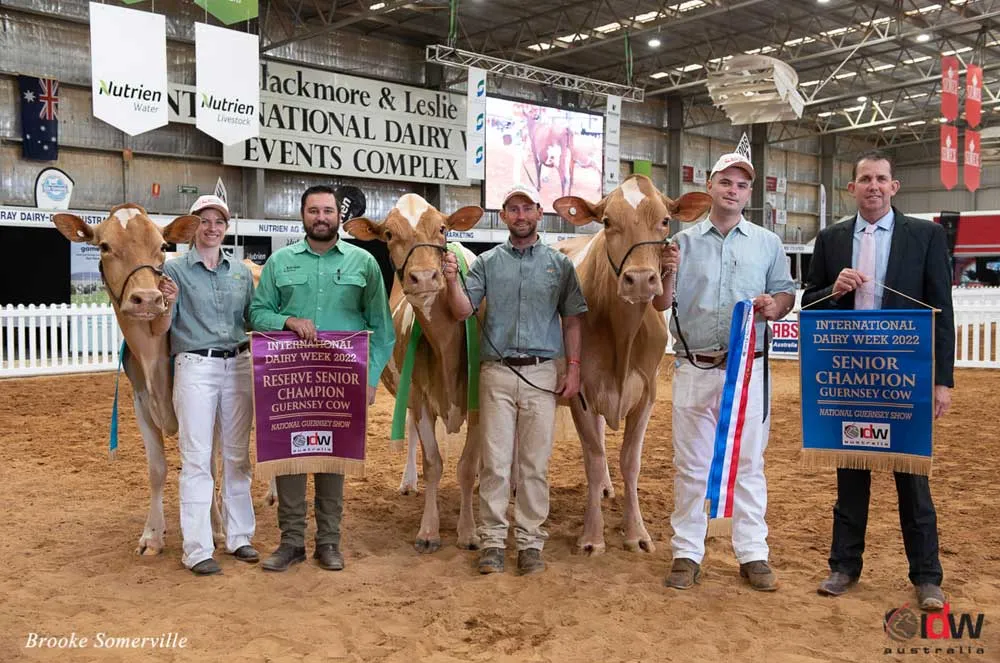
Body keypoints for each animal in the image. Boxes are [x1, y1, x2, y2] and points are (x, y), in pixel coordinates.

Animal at [55, 204, 205, 556]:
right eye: (104, 246)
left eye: (162, 246)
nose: (148, 299)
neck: (153, 361)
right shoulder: (141, 404)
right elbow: (157, 469)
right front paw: (152, 535)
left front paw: (217, 528)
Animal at [344, 195, 484, 552]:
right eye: (389, 234)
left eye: (443, 228)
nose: (423, 277)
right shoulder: (420, 399)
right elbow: (433, 462)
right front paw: (429, 531)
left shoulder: (480, 403)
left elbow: (466, 466)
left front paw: (468, 531)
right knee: (409, 431)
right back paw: (408, 481)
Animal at [556, 176, 712, 556]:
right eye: (607, 221)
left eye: (666, 221)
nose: (640, 279)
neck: (622, 337)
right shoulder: (579, 392)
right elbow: (594, 459)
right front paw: (592, 537)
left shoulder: (647, 393)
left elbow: (630, 461)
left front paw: (636, 533)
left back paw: (606, 489)